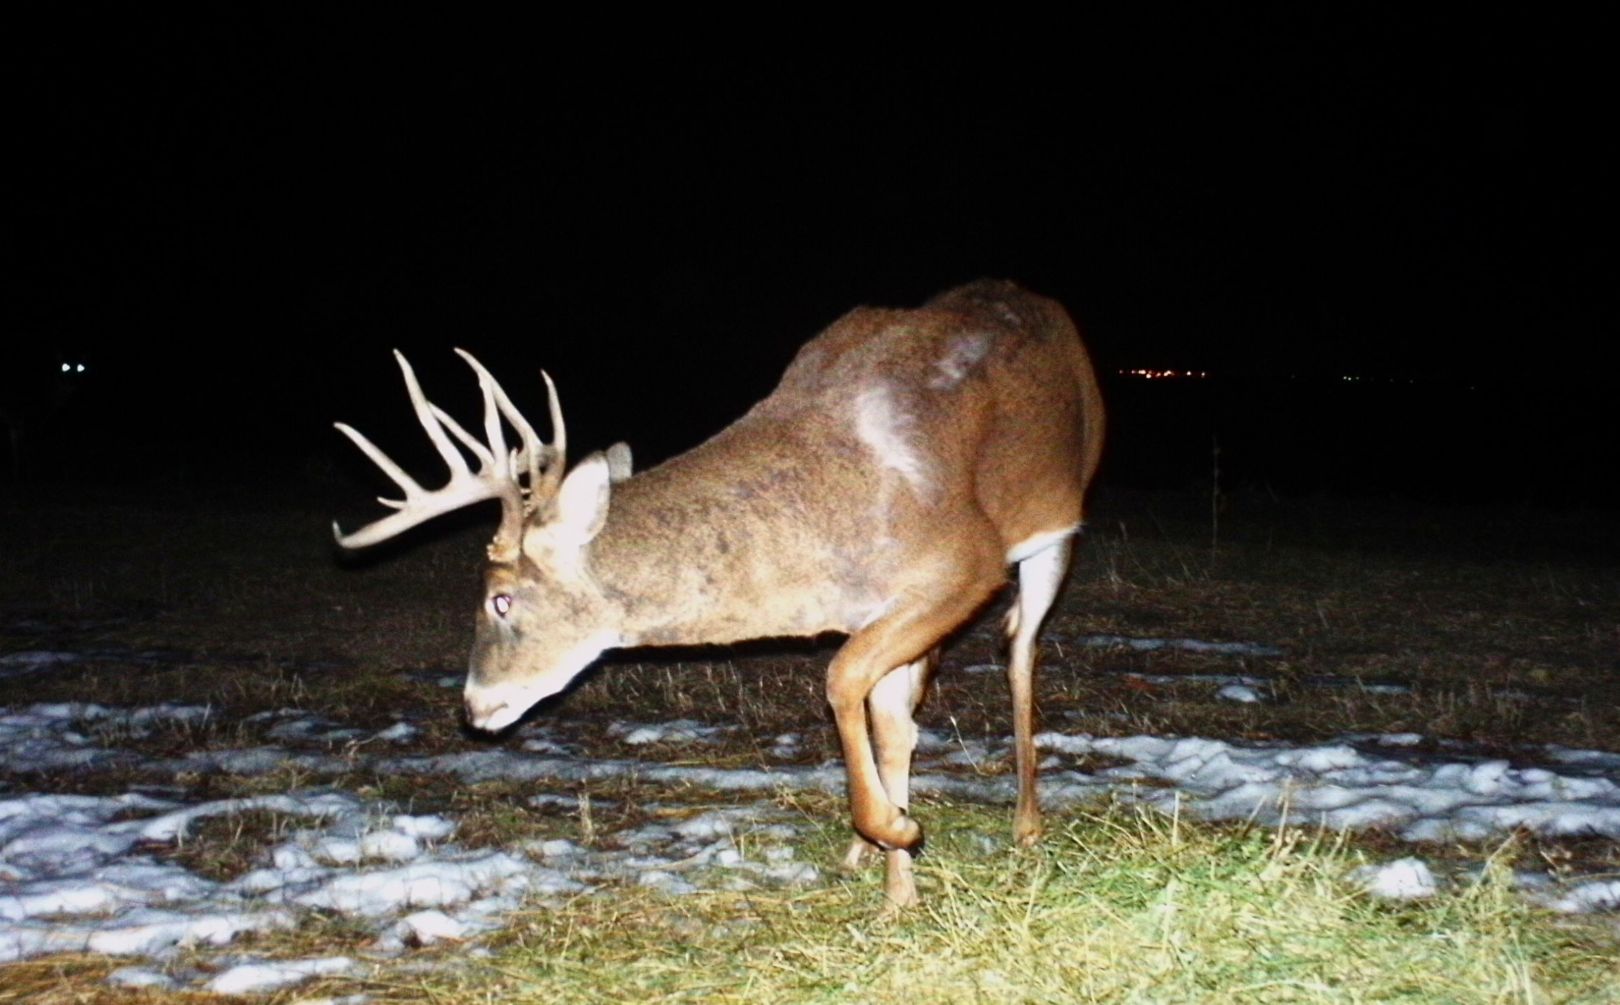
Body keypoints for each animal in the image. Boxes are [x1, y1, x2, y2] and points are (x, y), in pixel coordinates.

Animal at [335, 278, 1108, 907]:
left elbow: (840, 676)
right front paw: (894, 879)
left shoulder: (963, 565)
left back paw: (1027, 824)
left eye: (500, 600)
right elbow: (888, 722)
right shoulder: (883, 609)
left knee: (1019, 649)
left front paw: (894, 829)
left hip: (1058, 524)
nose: (474, 706)